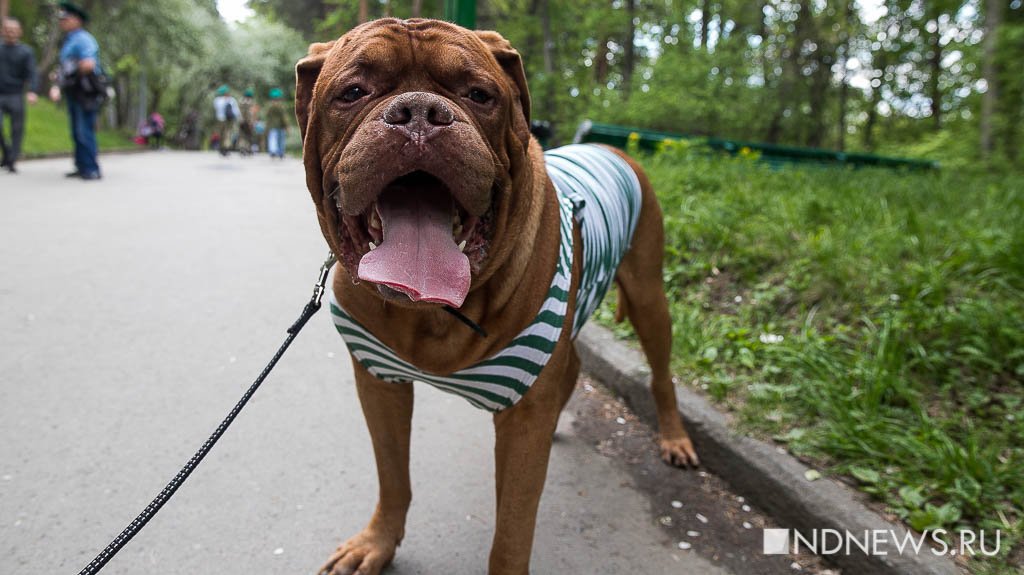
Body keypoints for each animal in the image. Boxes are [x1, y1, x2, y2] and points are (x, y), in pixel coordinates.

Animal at [292, 17, 700, 572]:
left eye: (479, 95)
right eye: (353, 92)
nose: (418, 112)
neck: (436, 314)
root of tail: (612, 148)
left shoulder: (522, 422)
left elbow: (512, 530)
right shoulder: (379, 383)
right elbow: (393, 475)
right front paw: (377, 542)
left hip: (648, 296)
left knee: (659, 372)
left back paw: (675, 436)